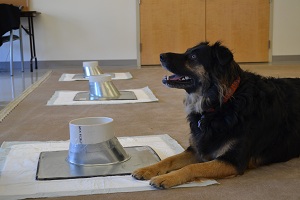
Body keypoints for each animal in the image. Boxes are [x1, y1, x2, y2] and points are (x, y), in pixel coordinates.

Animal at [132, 41, 300, 188]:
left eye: (193, 57)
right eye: (187, 51)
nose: (160, 55)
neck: (220, 105)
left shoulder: (233, 161)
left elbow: (192, 167)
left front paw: (166, 178)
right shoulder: (197, 148)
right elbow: (169, 159)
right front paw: (148, 169)